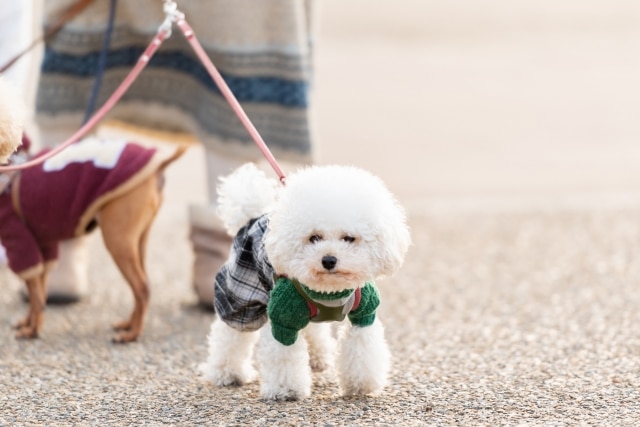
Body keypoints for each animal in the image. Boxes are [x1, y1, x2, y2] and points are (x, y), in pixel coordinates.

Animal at [0, 138, 185, 344]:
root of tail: (158, 165)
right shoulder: (42, 246)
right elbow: (37, 292)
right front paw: (28, 322)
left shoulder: (20, 244)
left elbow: (37, 297)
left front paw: (33, 330)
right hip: (138, 243)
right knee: (143, 287)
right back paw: (128, 324)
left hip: (117, 241)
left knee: (142, 288)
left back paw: (132, 335)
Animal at [200, 164, 410, 402]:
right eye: (314, 238)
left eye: (348, 238)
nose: (328, 260)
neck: (329, 293)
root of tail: (250, 217)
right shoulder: (283, 318)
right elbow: (284, 356)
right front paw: (286, 390)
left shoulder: (364, 313)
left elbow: (362, 348)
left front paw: (361, 384)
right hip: (241, 297)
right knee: (230, 334)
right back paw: (226, 372)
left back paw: (319, 358)